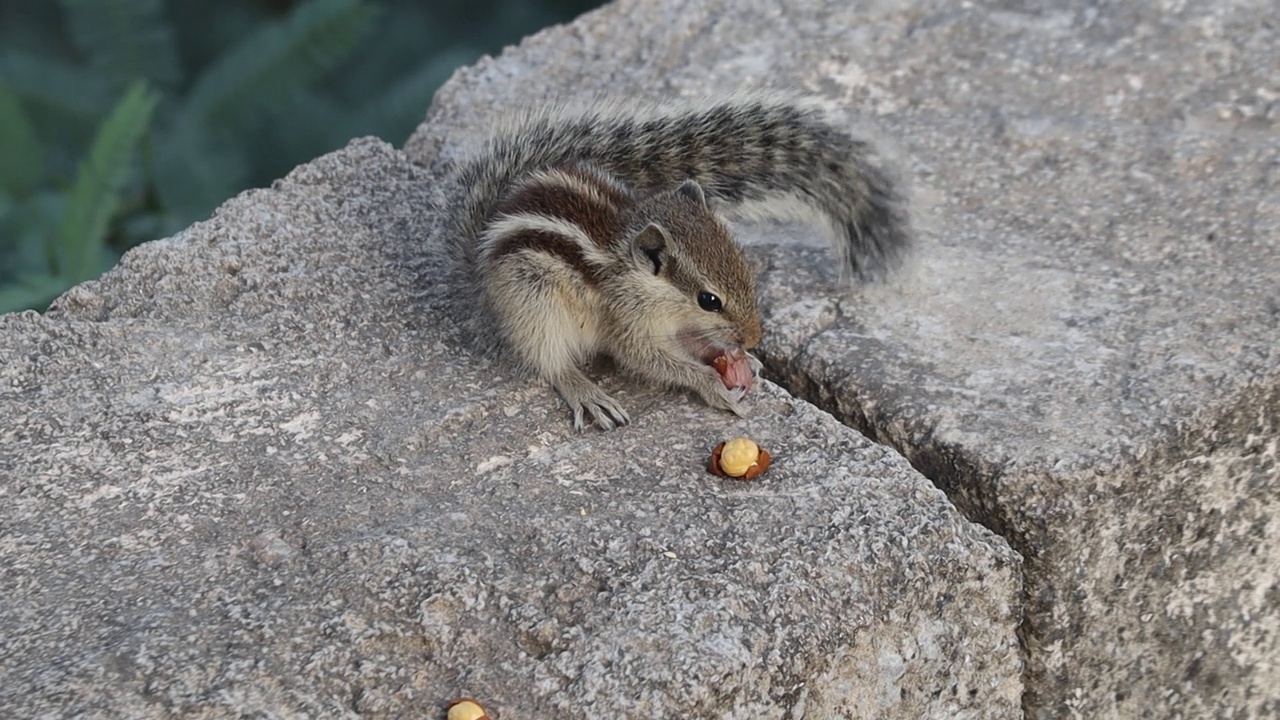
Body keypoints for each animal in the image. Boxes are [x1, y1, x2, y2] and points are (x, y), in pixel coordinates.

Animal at [440, 89, 911, 425]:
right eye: (709, 300)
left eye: (746, 269)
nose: (754, 338)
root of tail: (479, 270)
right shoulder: (626, 324)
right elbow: (647, 359)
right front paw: (713, 385)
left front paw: (742, 360)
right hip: (534, 302)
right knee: (549, 362)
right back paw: (586, 392)